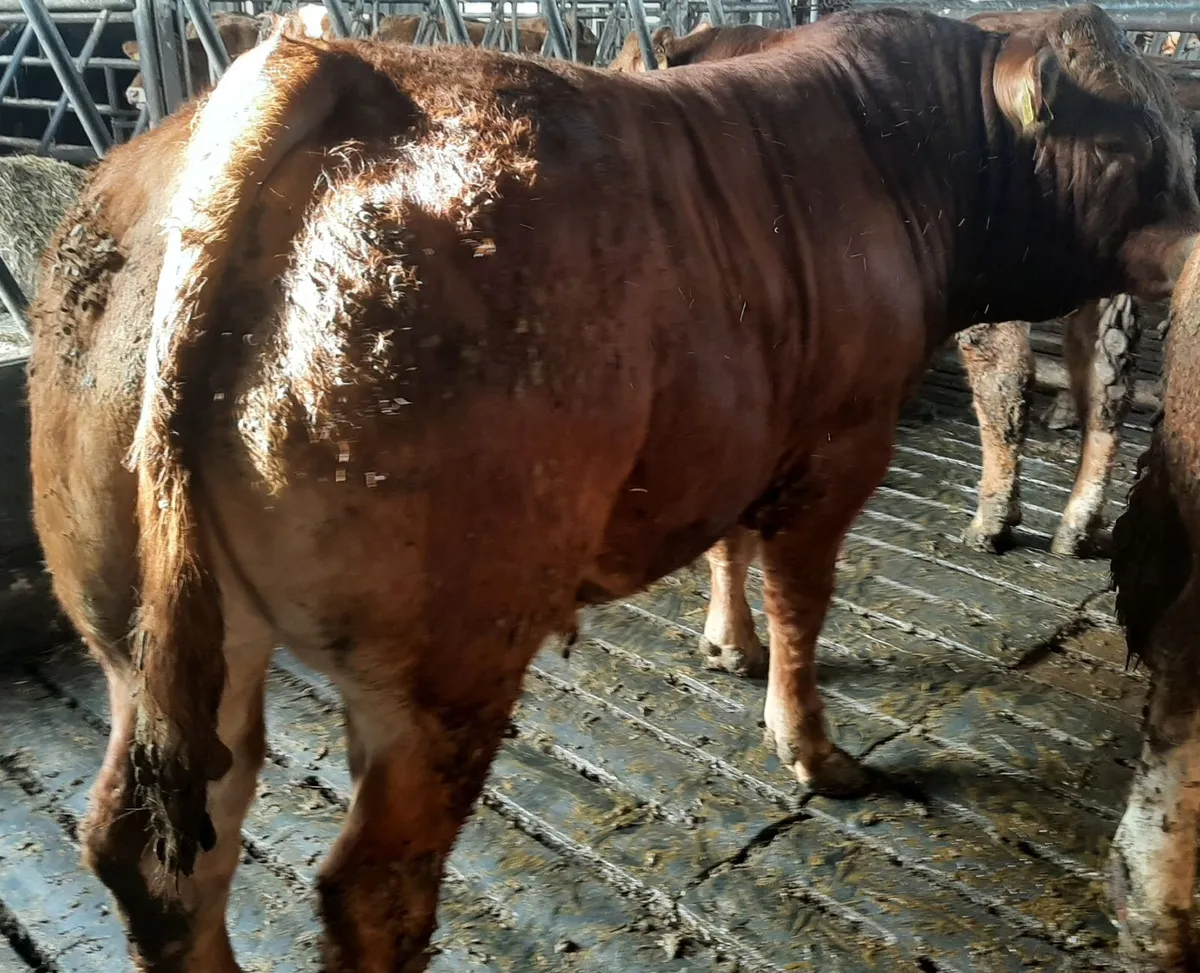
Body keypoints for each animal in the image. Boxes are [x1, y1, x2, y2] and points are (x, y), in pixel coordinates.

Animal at [27, 6, 1199, 970]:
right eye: (1139, 144)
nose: (1195, 238)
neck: (898, 150)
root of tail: (325, 68)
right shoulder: (838, 446)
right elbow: (802, 602)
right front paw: (812, 749)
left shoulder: (742, 426)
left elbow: (729, 548)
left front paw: (727, 645)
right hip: (452, 654)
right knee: (370, 885)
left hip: (153, 637)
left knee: (166, 856)